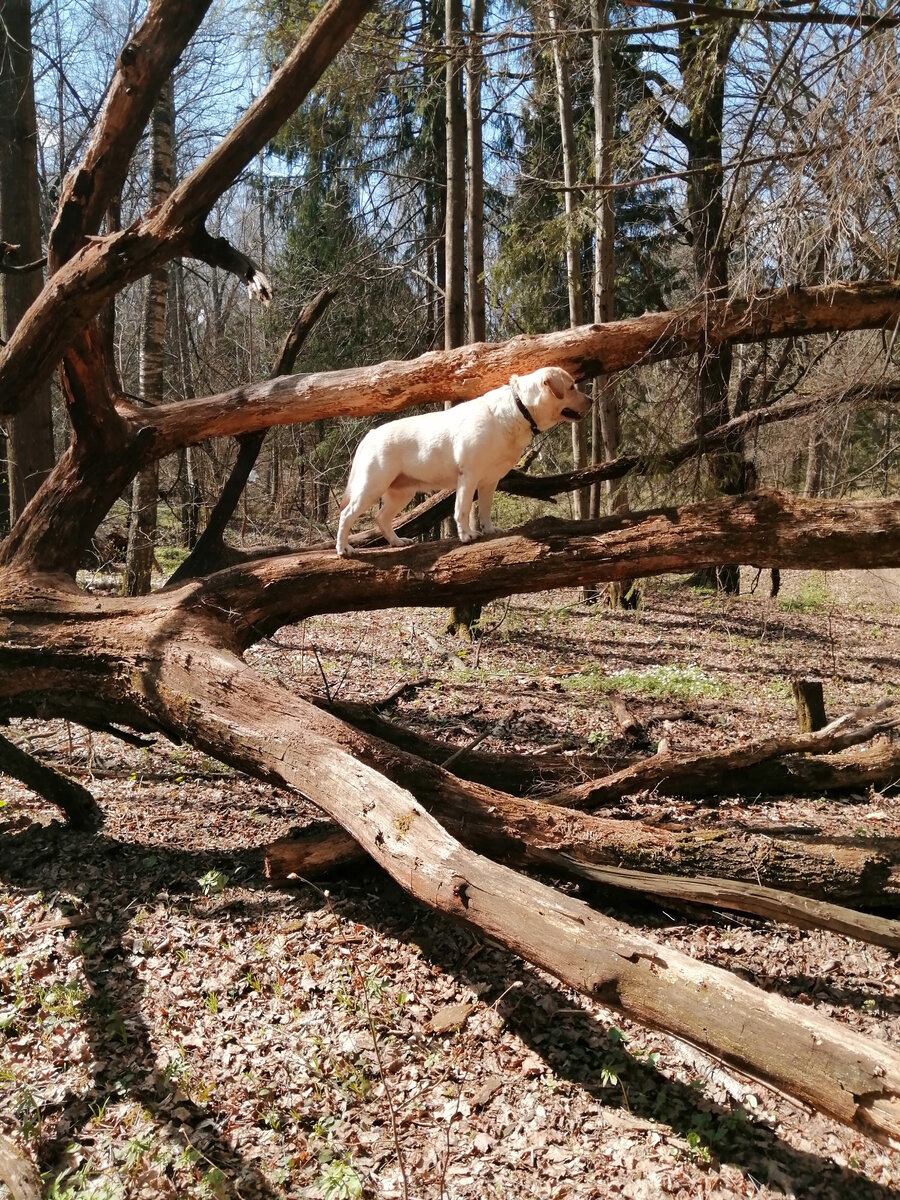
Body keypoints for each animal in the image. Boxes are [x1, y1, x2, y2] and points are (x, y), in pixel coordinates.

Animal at [336, 364, 592, 556]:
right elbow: (463, 509)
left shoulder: (490, 481)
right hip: (372, 486)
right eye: (571, 387)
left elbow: (485, 509)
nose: (590, 399)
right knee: (346, 515)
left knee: (381, 518)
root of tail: (370, 435)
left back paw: (397, 542)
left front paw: (489, 530)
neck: (520, 410)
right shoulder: (468, 477)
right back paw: (343, 549)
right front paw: (467, 535)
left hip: (401, 492)